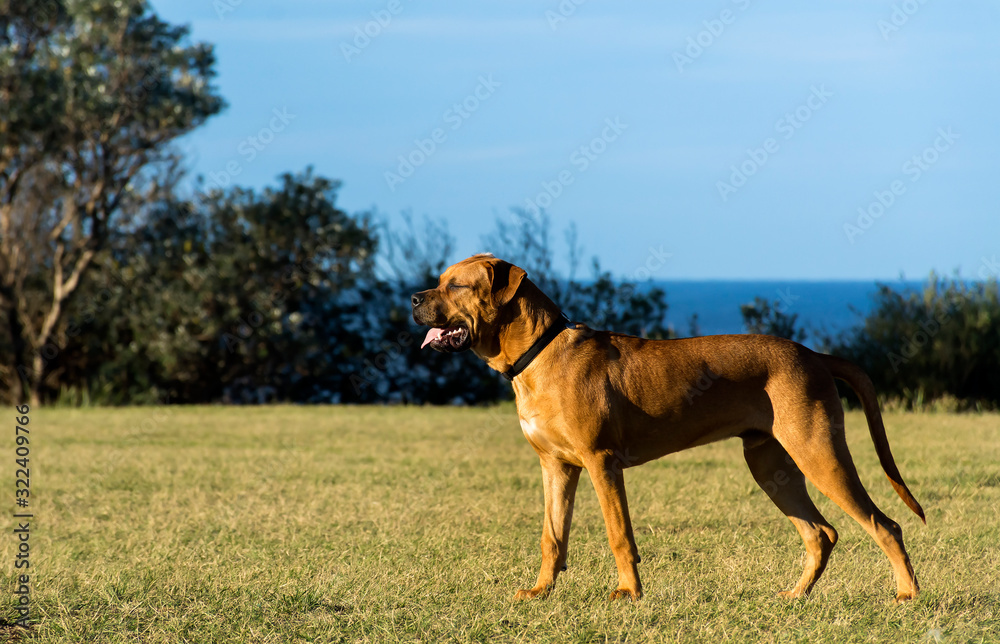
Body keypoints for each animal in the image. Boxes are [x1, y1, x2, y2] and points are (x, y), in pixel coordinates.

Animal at [410, 253, 924, 604]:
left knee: (884, 524)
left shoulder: (601, 463)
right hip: (769, 463)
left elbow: (619, 533)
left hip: (818, 451)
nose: (412, 299)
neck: (540, 351)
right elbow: (552, 537)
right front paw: (540, 592)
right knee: (820, 533)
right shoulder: (556, 467)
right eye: (437, 283)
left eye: (456, 285)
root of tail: (814, 354)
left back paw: (907, 595)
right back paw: (796, 595)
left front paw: (628, 593)